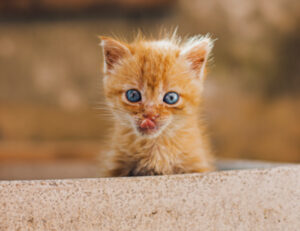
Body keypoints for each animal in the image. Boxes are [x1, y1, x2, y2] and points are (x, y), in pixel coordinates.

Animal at [99, 33, 214, 177]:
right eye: (133, 95)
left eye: (171, 98)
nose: (150, 114)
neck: (155, 147)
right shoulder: (114, 167)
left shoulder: (197, 165)